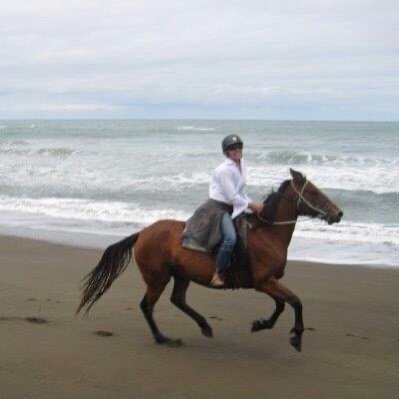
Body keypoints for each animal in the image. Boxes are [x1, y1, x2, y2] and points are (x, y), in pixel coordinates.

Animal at [77, 170, 344, 354]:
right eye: (313, 192)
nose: (339, 213)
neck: (268, 233)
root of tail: (142, 233)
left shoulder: (267, 283)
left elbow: (280, 305)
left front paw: (261, 324)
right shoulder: (263, 282)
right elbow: (296, 302)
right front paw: (296, 337)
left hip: (181, 275)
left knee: (178, 300)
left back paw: (204, 326)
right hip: (157, 278)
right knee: (147, 305)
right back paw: (163, 337)